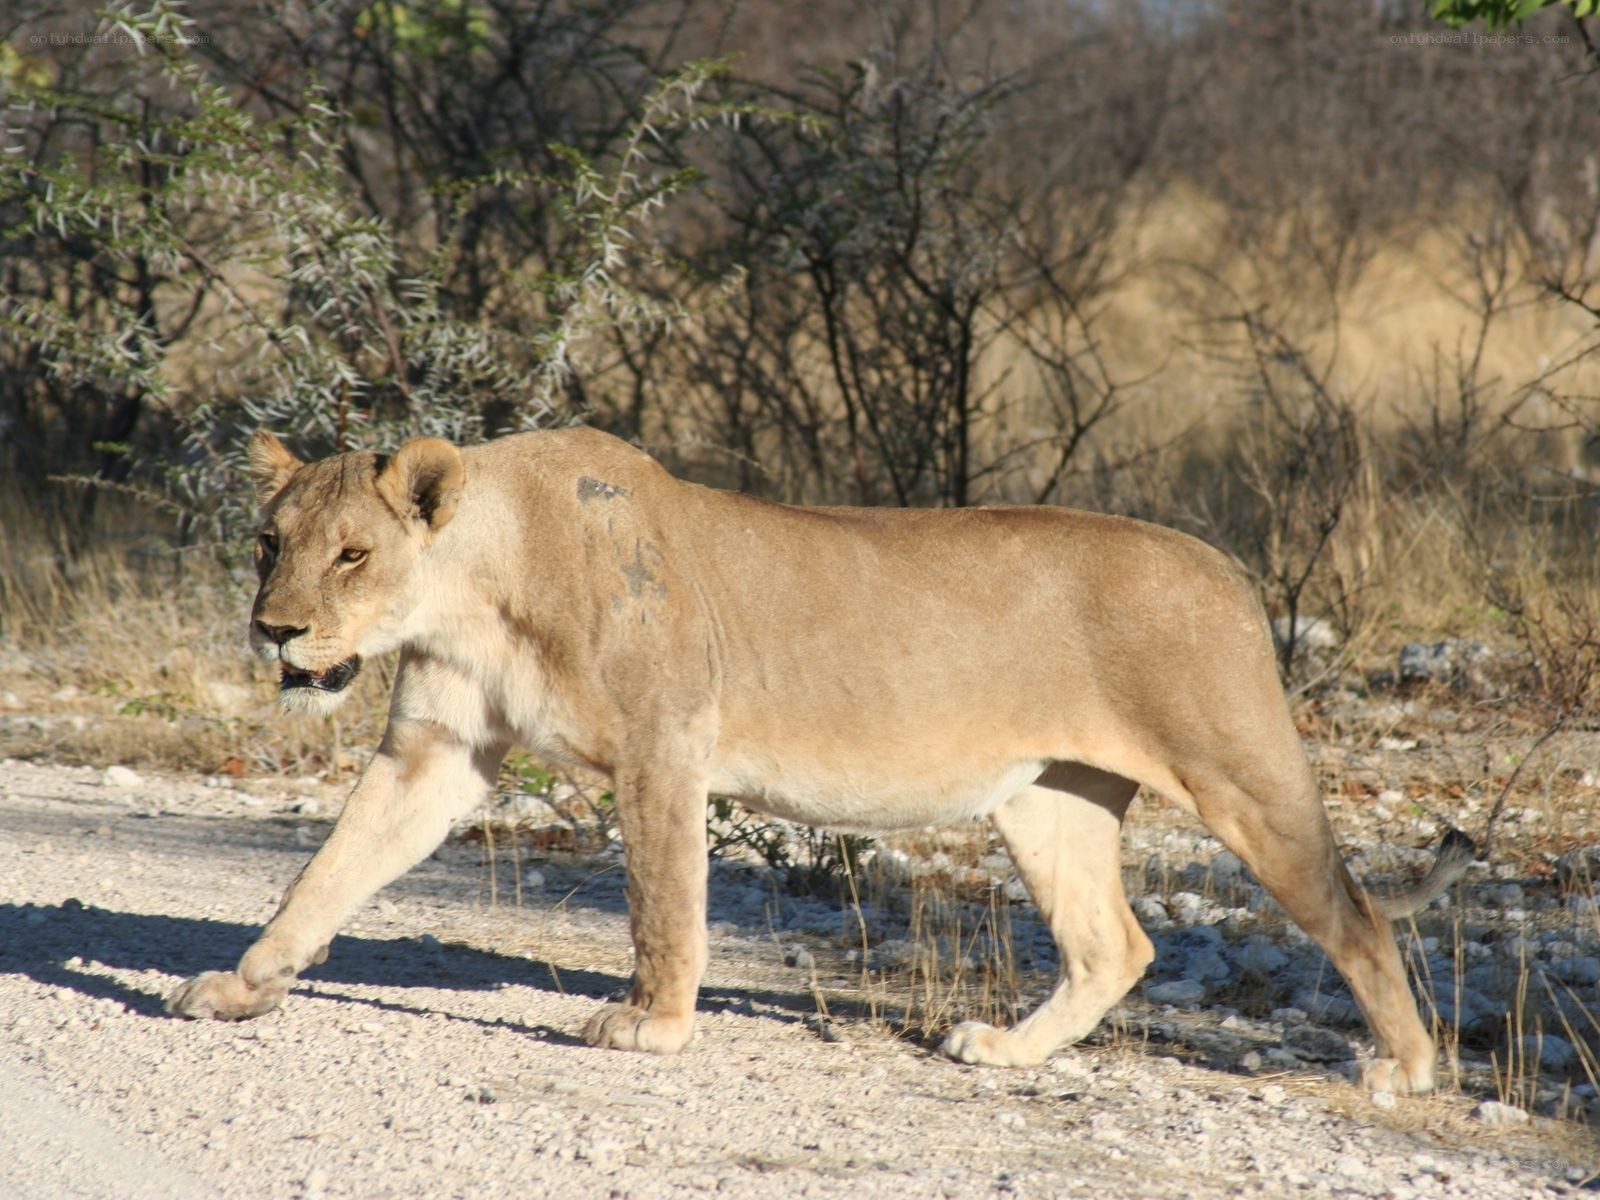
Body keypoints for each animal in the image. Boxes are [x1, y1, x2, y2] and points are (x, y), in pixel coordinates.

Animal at [166, 426, 1472, 1092]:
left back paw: (1404, 1070)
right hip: (1048, 797)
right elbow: (325, 876)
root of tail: (1230, 569)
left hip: (1238, 769)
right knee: (1116, 945)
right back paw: (1002, 1049)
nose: (274, 630)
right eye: (270, 543)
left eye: (351, 553)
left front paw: (649, 1027)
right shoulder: (434, 752)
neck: (474, 587)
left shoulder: (663, 744)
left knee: (1355, 913)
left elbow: (665, 907)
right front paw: (240, 985)